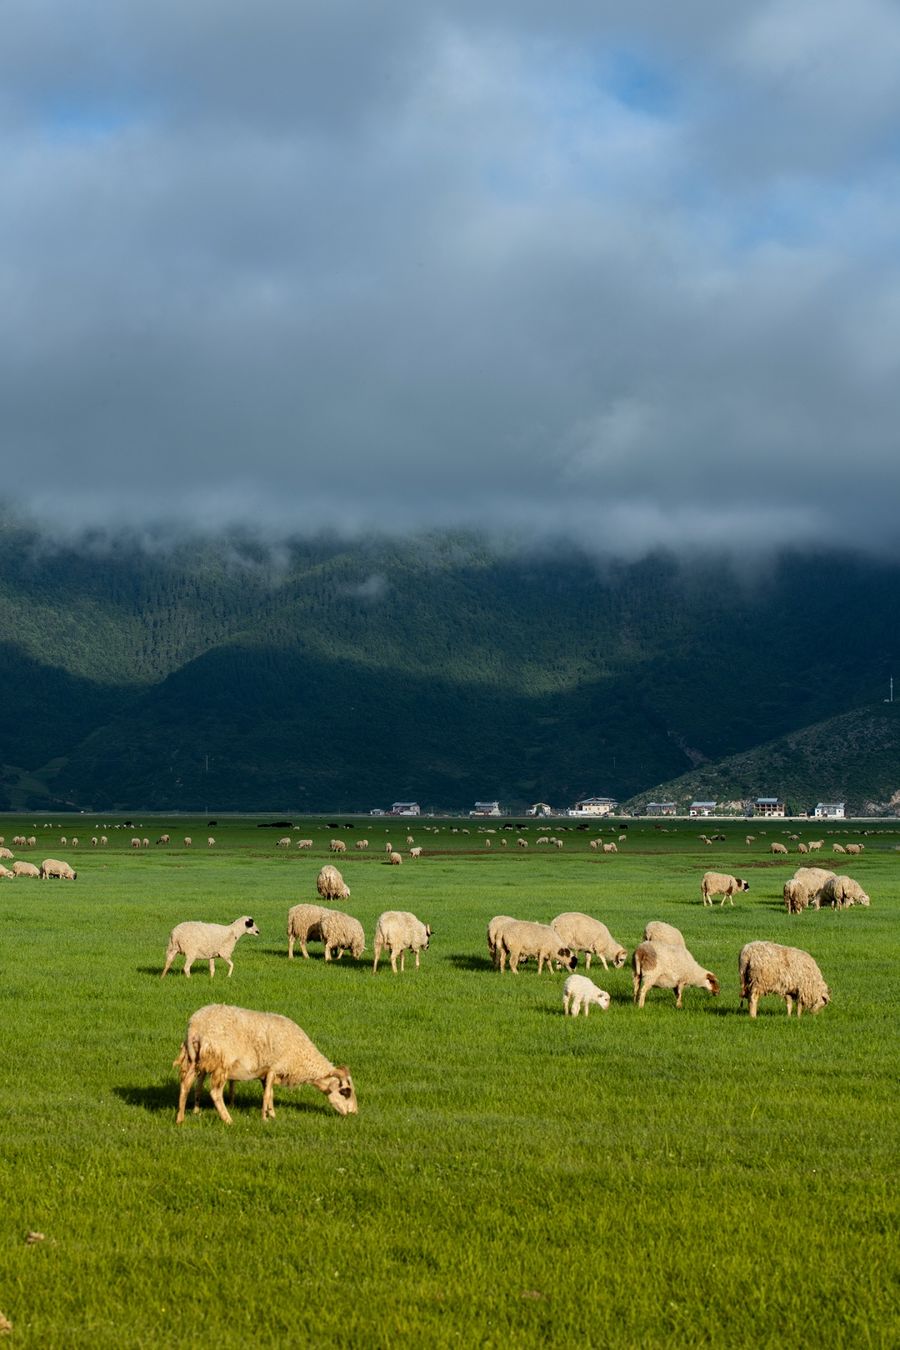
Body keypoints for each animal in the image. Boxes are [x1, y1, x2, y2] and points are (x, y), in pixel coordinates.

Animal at [174, 1004, 356, 1128]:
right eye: (345, 1092)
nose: (354, 1113)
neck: (302, 1058)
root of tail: (195, 1026)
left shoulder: (267, 1072)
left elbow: (270, 1094)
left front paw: (271, 1113)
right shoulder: (275, 1067)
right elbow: (267, 1094)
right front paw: (265, 1118)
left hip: (195, 1059)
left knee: (186, 1085)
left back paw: (180, 1119)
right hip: (221, 1062)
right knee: (215, 1093)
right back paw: (228, 1120)